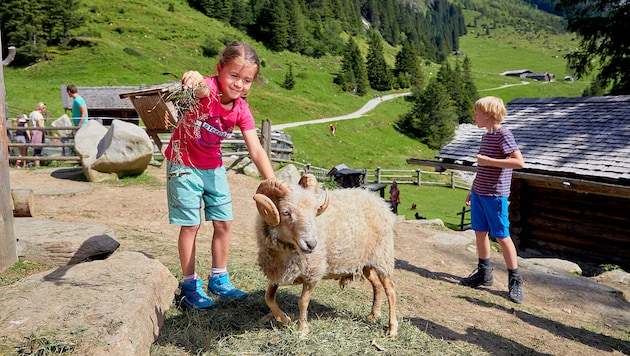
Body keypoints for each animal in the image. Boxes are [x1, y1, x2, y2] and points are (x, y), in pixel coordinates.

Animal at [253, 174, 398, 338]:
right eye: (285, 212)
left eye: (315, 211)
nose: (311, 244)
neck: (287, 252)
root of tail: (379, 201)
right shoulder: (276, 272)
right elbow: (268, 297)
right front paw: (284, 319)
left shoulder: (313, 272)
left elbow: (303, 301)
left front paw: (302, 329)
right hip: (365, 261)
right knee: (377, 285)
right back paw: (374, 315)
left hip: (383, 257)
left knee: (390, 290)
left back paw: (392, 329)